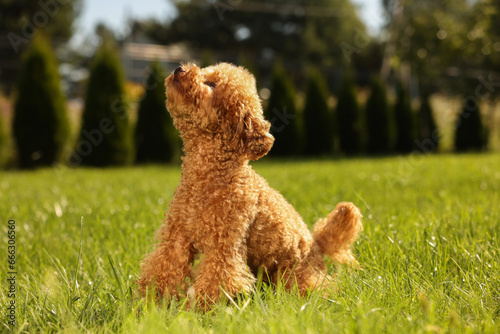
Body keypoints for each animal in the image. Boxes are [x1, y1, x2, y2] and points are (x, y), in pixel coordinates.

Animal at [137, 62, 364, 310]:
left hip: (295, 275)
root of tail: (317, 245)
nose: (179, 69)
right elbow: (163, 267)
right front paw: (151, 303)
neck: (206, 178)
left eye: (211, 84)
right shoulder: (177, 237)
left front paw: (201, 310)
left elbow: (217, 280)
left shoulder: (224, 245)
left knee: (316, 288)